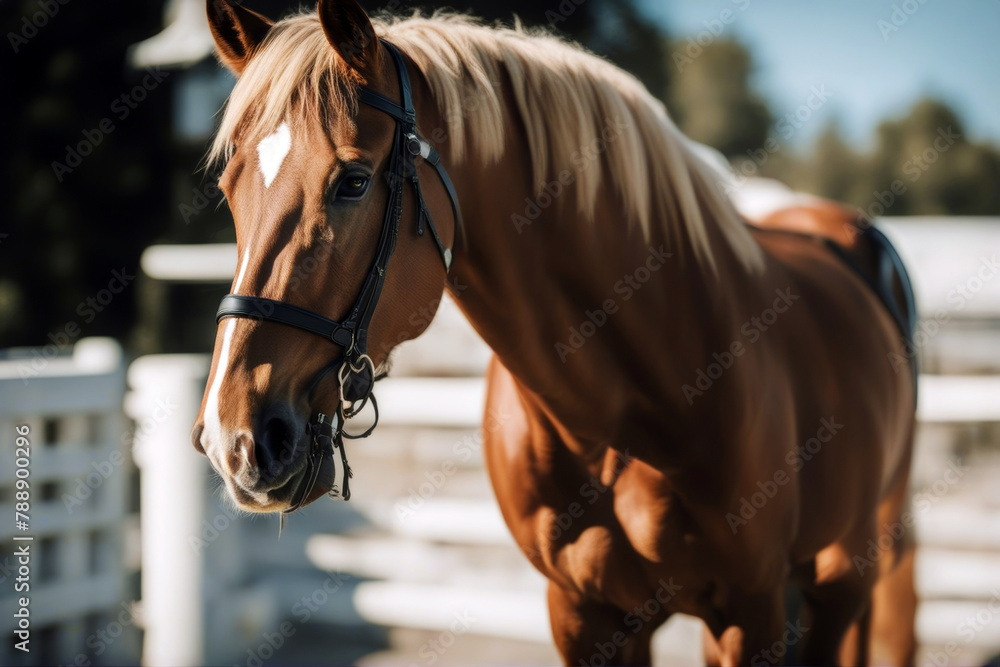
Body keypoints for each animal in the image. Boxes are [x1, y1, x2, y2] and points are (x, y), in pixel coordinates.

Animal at [192, 1, 918, 664]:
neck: (628, 409)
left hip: (846, 574)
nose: (235, 439)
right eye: (228, 189)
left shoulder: (749, 612)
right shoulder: (582, 611)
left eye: (353, 182)